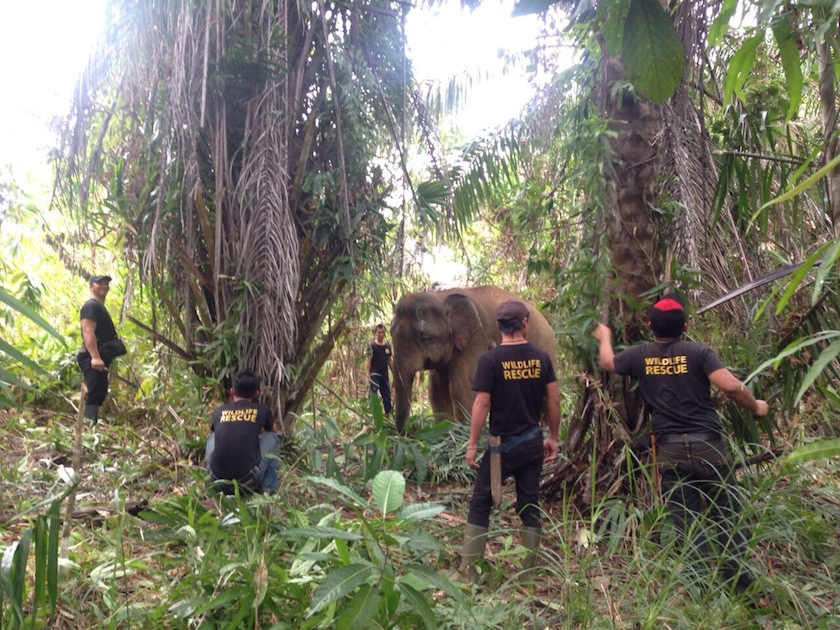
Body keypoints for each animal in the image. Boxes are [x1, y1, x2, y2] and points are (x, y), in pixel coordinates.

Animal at [390, 286, 557, 433]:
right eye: (390, 333)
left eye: (424, 338)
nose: (412, 429)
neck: (442, 296)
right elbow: (436, 392)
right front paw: (445, 431)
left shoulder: (475, 340)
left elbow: (462, 388)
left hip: (547, 349)